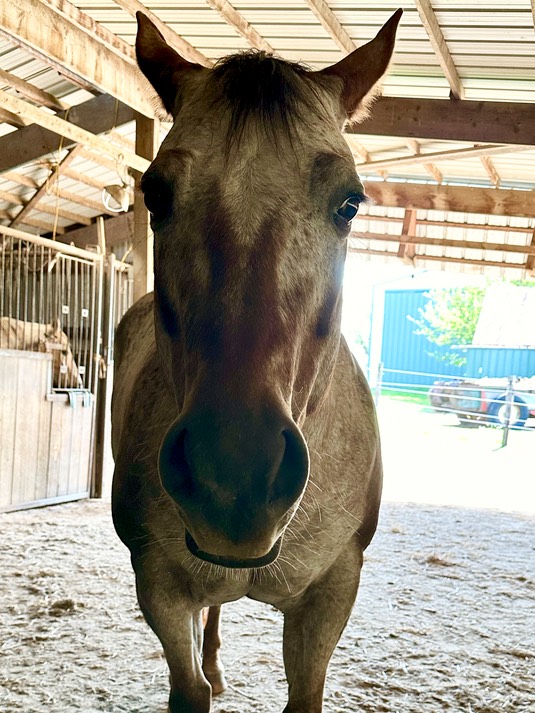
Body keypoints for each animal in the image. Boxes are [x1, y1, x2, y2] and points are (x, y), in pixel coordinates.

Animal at [111, 9, 402, 712]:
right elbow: (189, 685)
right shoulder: (159, 587)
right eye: (155, 195)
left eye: (350, 203)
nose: (233, 480)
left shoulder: (331, 595)